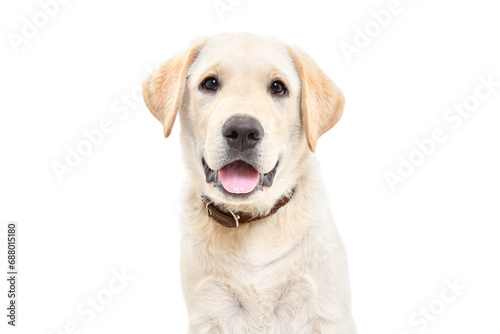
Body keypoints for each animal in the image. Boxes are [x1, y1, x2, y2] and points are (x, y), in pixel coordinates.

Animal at [143, 32, 358, 334]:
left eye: (278, 87)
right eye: (210, 83)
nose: (243, 131)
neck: (251, 222)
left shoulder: (326, 313)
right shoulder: (208, 311)